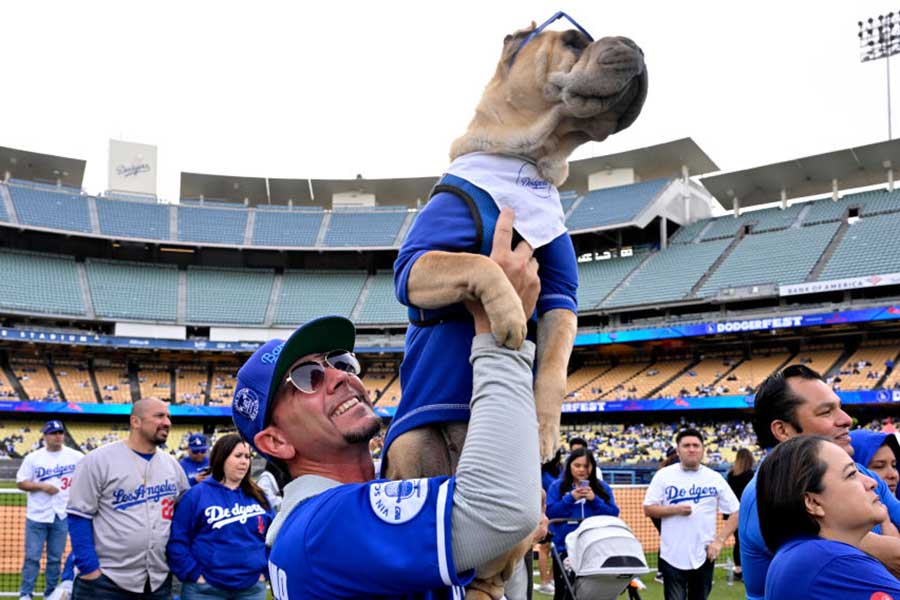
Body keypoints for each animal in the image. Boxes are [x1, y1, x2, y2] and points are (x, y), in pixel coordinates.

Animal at [384, 14, 644, 600]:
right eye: (574, 41)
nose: (636, 46)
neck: (527, 160)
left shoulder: (561, 294)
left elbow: (552, 369)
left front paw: (544, 426)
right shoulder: (415, 266)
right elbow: (481, 266)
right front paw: (504, 316)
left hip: (526, 509)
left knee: (492, 566)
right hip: (409, 447)